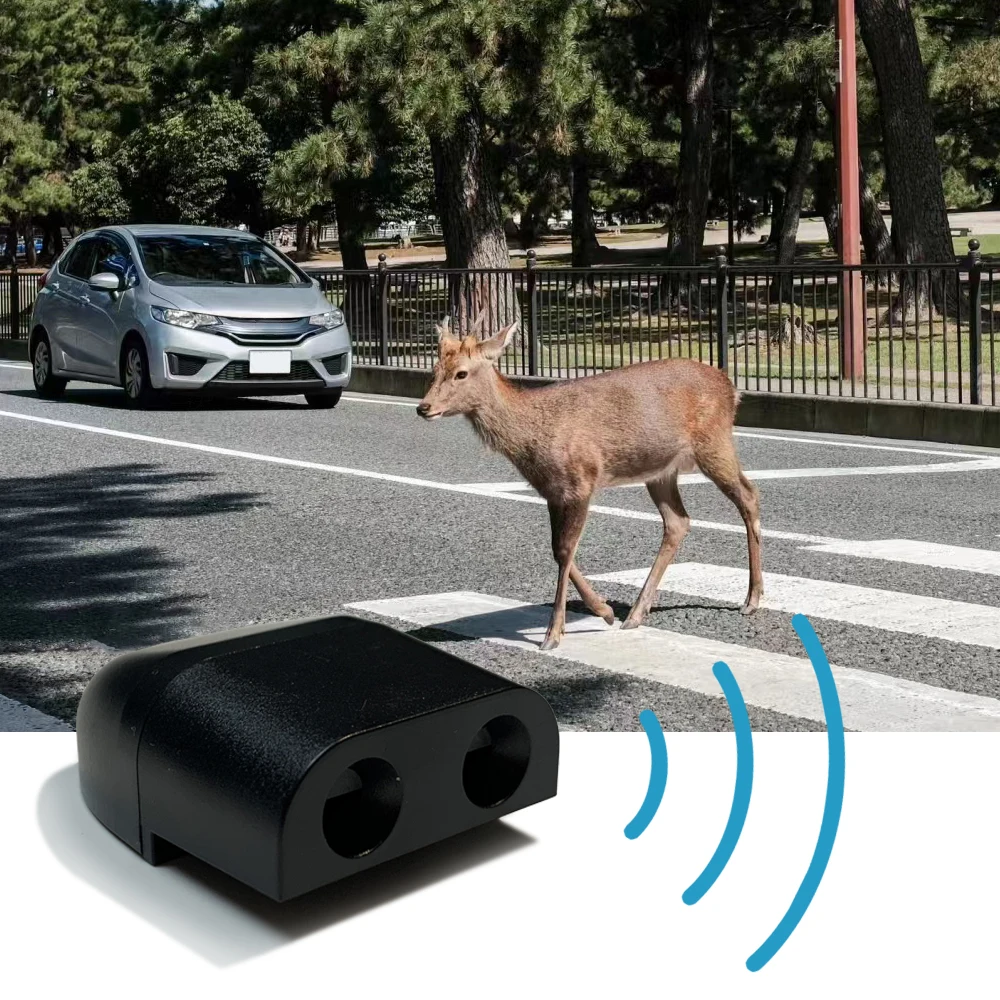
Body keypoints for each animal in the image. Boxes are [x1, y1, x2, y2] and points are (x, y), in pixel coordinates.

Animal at [416, 317, 763, 651]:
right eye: (434, 370)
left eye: (461, 373)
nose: (423, 407)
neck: (531, 437)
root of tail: (732, 388)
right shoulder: (552, 491)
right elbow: (557, 549)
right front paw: (605, 611)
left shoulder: (581, 480)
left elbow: (565, 549)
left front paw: (553, 634)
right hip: (660, 471)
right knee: (678, 521)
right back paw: (635, 613)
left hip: (714, 443)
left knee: (748, 496)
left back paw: (752, 598)